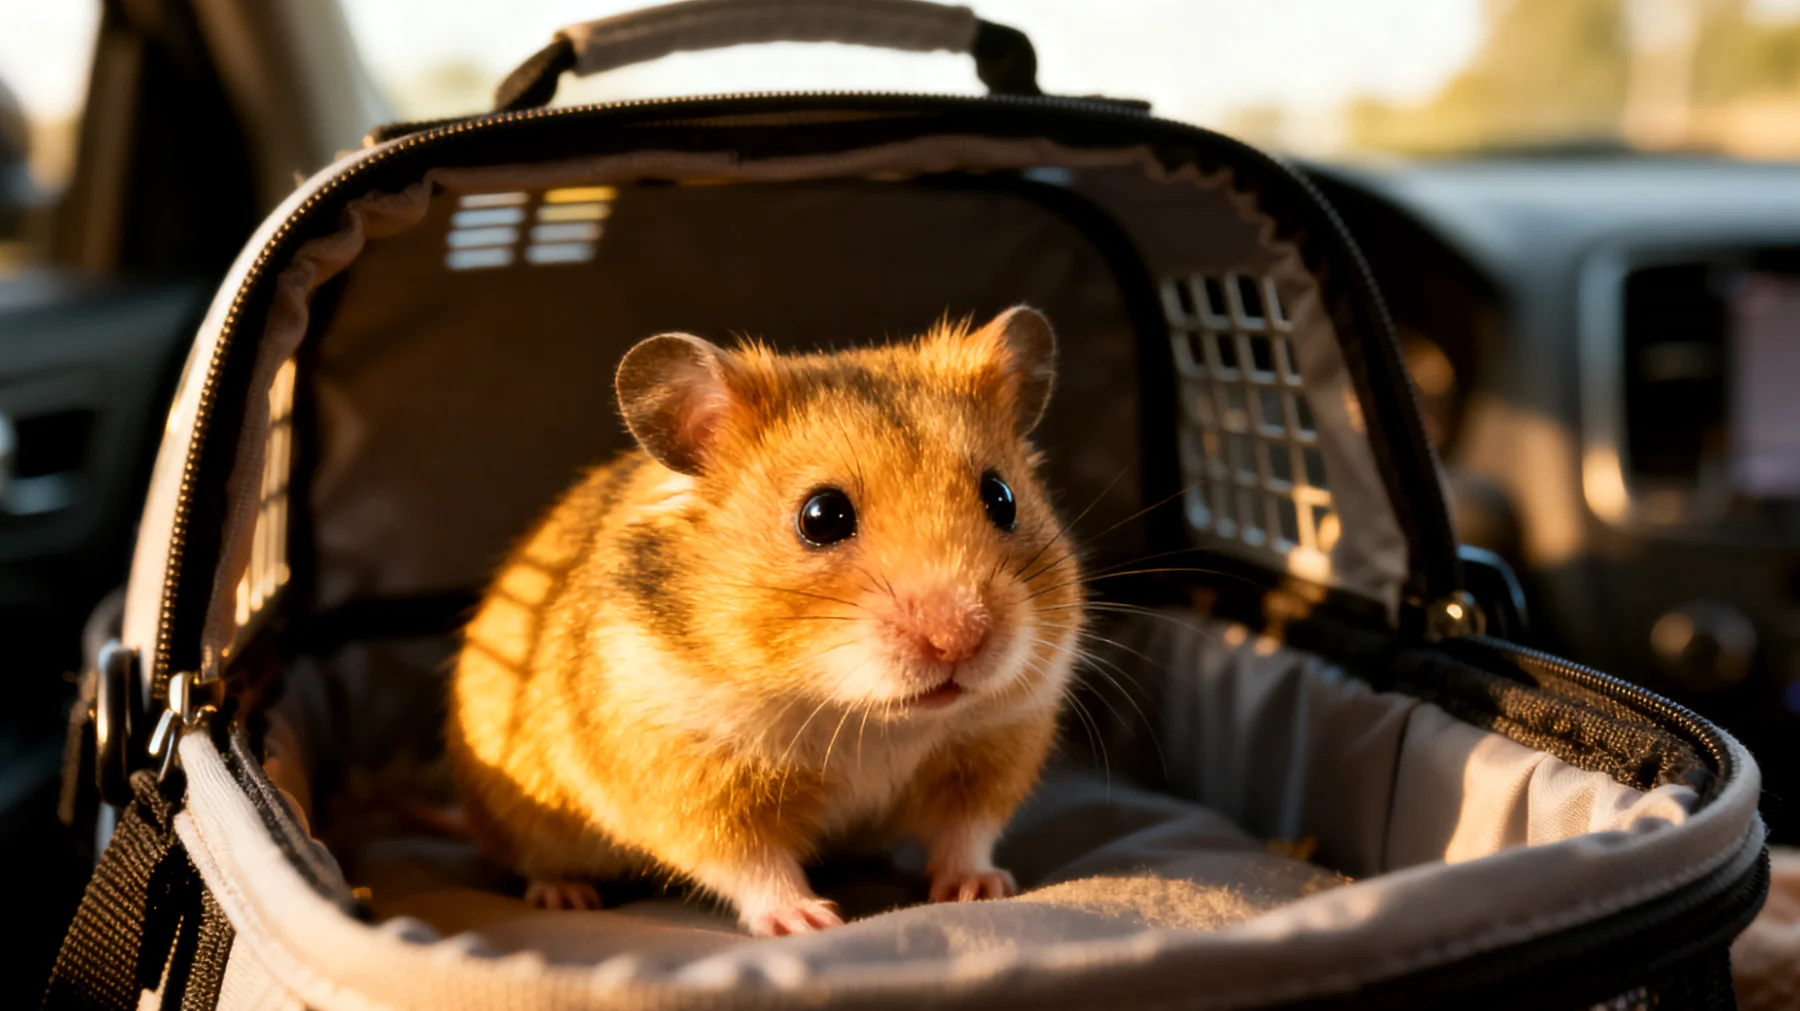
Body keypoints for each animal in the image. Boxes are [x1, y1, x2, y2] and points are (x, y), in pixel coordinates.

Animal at [445, 306, 1086, 937]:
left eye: (1001, 497)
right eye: (822, 516)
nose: (961, 641)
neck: (868, 717)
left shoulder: (994, 745)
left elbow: (966, 833)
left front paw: (982, 889)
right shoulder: (687, 775)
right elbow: (751, 862)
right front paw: (808, 921)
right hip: (518, 809)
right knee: (534, 860)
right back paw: (568, 896)